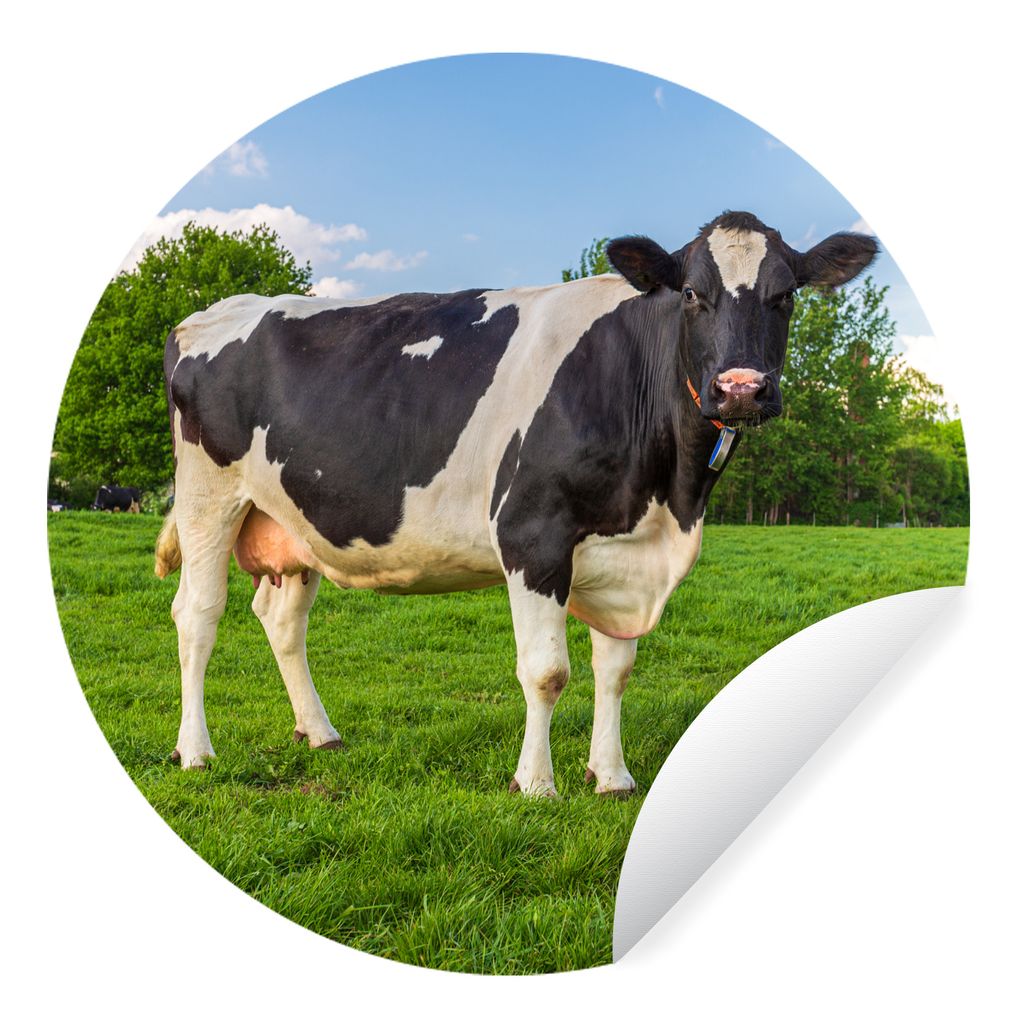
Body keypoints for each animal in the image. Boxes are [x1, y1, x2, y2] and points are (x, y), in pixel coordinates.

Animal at [154, 211, 877, 795]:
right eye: (693, 294)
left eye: (785, 296)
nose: (741, 389)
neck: (667, 498)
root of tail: (206, 314)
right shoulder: (534, 534)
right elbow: (547, 672)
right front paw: (534, 784)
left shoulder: (620, 551)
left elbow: (616, 668)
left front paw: (611, 777)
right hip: (208, 498)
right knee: (198, 614)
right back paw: (195, 751)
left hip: (294, 518)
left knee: (281, 619)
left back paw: (320, 731)